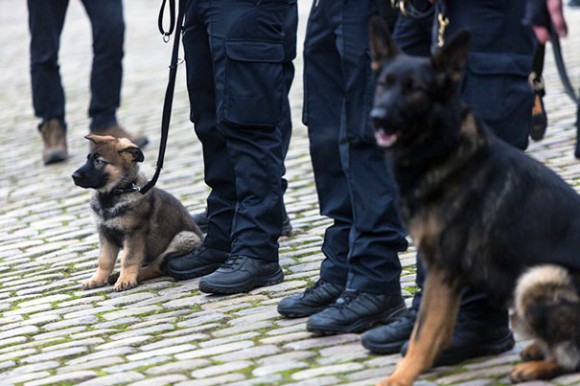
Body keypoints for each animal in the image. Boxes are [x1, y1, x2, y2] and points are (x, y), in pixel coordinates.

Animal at [71, 134, 203, 292]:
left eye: (99, 161)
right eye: (88, 159)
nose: (73, 176)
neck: (112, 195)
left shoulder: (134, 233)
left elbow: (128, 258)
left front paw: (125, 279)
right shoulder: (105, 233)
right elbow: (104, 260)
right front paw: (96, 279)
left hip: (183, 238)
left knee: (156, 267)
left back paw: (126, 276)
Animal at [370, 17, 580, 386]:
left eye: (414, 90)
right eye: (384, 84)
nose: (377, 118)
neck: (441, 146)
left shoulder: (441, 269)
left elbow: (421, 334)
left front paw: (399, 377)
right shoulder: (445, 277)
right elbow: (433, 332)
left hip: (537, 278)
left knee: (572, 356)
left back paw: (536, 366)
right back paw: (537, 349)